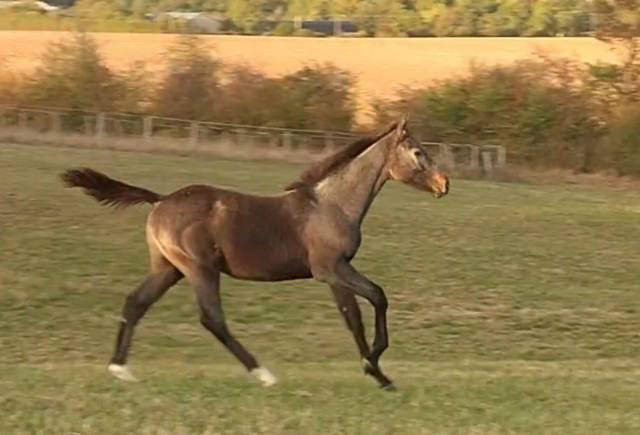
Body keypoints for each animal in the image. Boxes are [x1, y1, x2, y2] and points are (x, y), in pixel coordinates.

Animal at [60, 116, 449, 390]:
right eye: (418, 152)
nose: (444, 184)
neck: (330, 205)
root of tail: (160, 200)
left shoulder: (334, 274)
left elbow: (352, 318)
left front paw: (378, 374)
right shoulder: (331, 268)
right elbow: (378, 297)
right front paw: (376, 362)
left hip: (168, 268)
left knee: (135, 302)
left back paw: (120, 369)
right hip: (200, 269)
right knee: (212, 319)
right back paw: (264, 374)